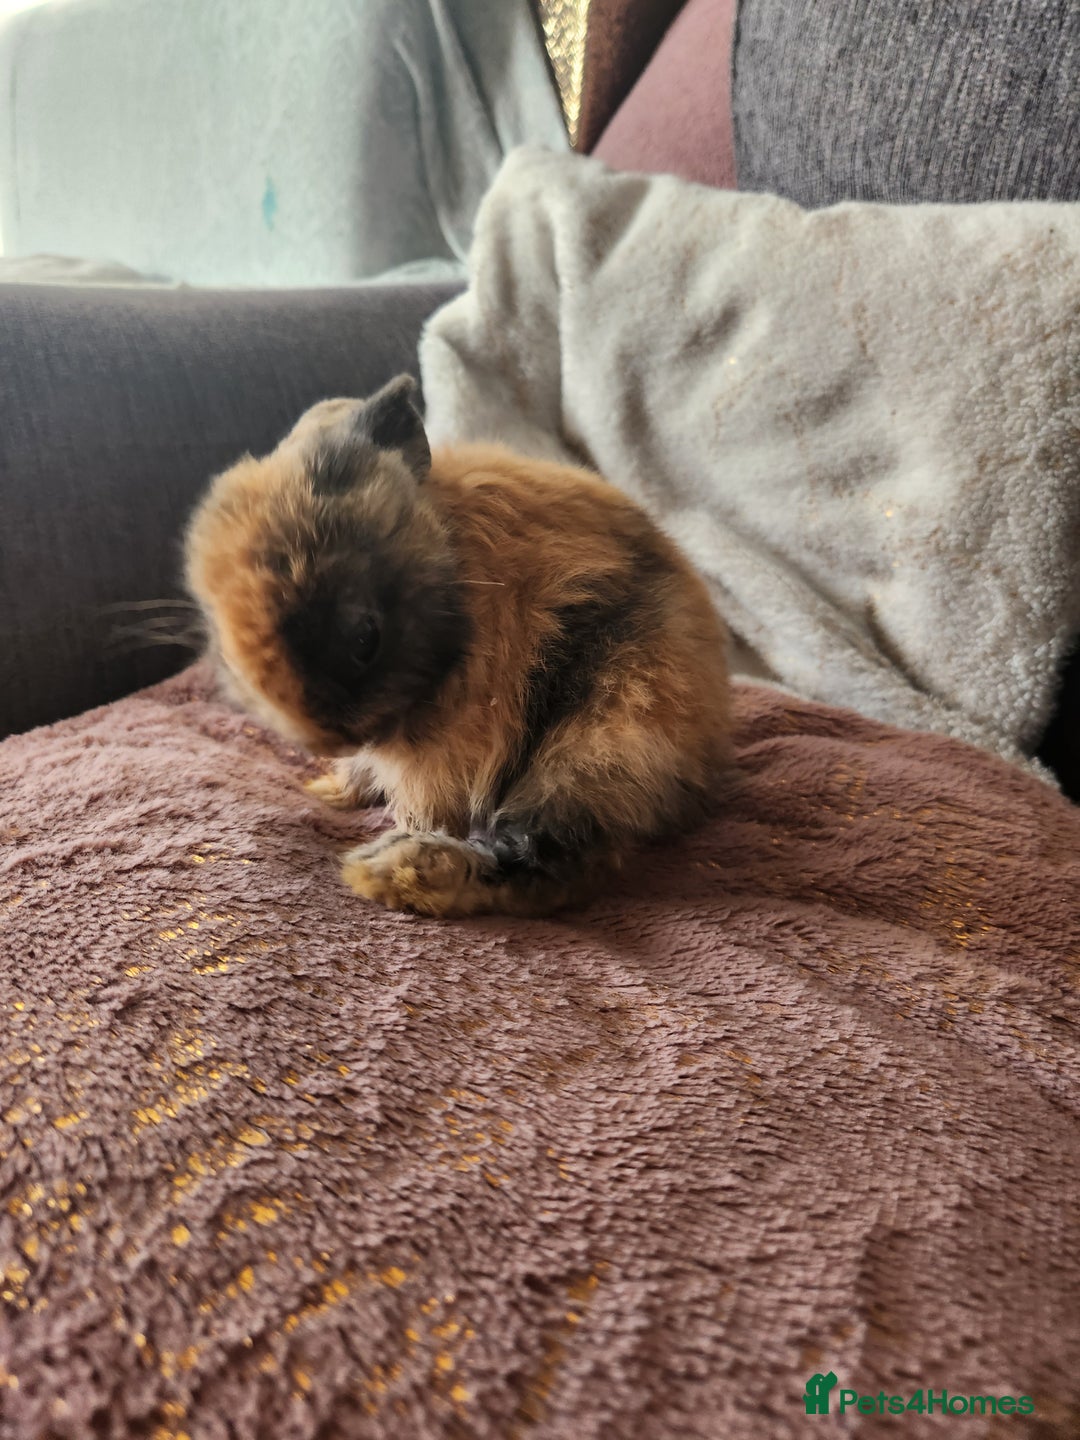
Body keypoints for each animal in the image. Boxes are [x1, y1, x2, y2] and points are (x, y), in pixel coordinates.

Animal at [185, 375, 732, 918]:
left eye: (365, 637)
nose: (329, 741)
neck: (455, 565)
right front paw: (331, 790)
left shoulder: (442, 751)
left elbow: (425, 803)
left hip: (602, 734)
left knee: (553, 862)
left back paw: (392, 871)